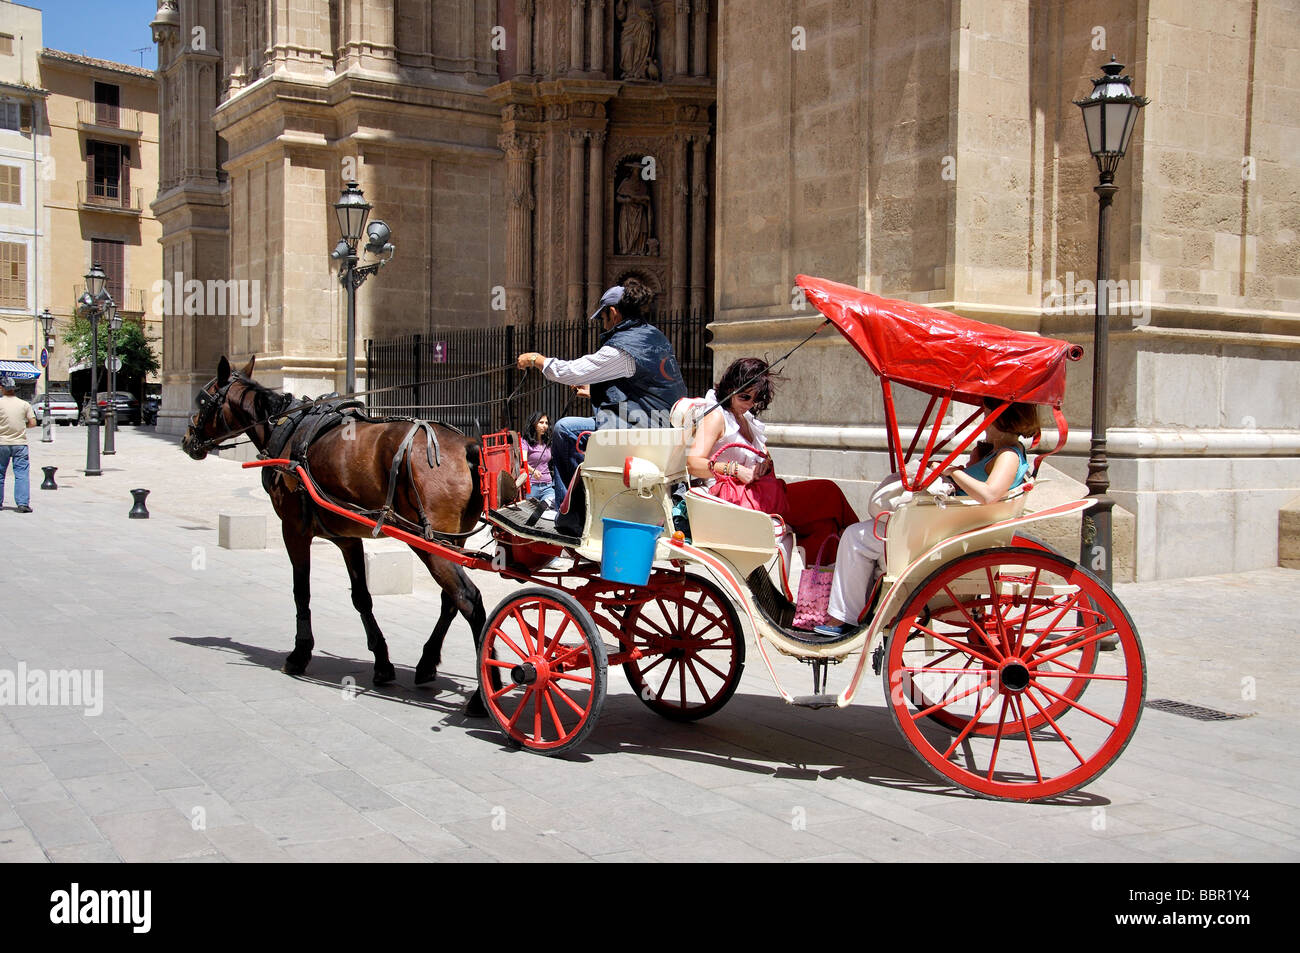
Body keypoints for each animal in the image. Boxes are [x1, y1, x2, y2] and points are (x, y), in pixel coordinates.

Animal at [183, 353, 506, 712]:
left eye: (202, 399)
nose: (187, 440)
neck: (288, 429)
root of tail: (467, 445)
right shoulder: (347, 538)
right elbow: (361, 597)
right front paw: (382, 662)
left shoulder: (293, 530)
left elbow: (301, 591)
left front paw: (299, 654)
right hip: (448, 543)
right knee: (451, 600)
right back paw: (427, 665)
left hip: (430, 544)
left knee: (469, 600)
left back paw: (484, 694)